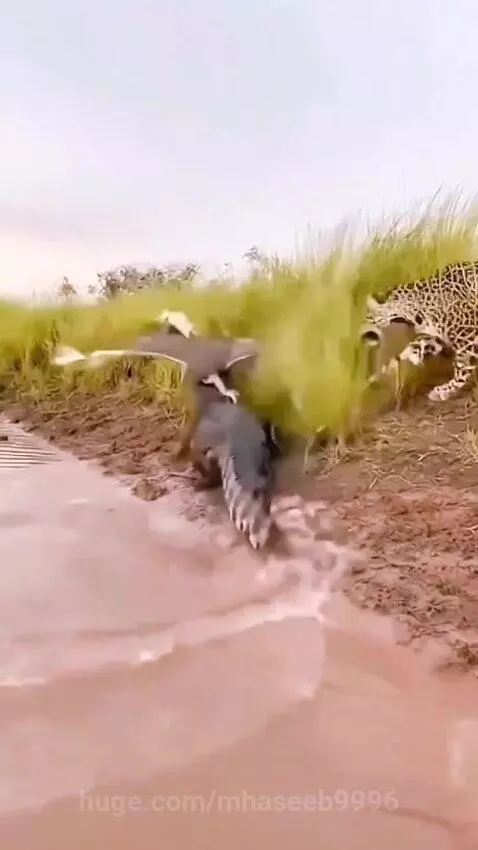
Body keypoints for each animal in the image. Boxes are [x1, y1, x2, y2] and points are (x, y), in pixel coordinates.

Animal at [361, 260, 478, 401]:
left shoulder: (467, 335)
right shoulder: (436, 336)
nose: (363, 335)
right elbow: (420, 343)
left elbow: (462, 367)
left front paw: (444, 391)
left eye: (368, 317)